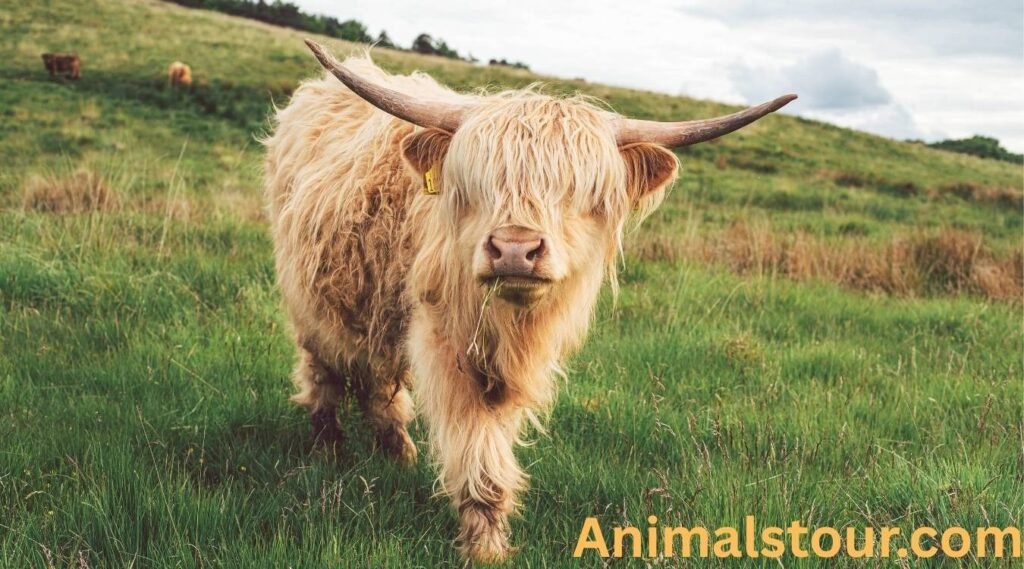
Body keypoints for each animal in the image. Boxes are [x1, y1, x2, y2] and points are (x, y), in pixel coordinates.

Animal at [263, 39, 795, 563]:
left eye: (581, 192)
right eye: (476, 185)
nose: (515, 249)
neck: (509, 325)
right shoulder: (447, 346)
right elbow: (478, 455)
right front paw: (485, 548)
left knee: (377, 381)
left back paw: (398, 453)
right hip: (310, 299)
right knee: (324, 369)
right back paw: (329, 448)